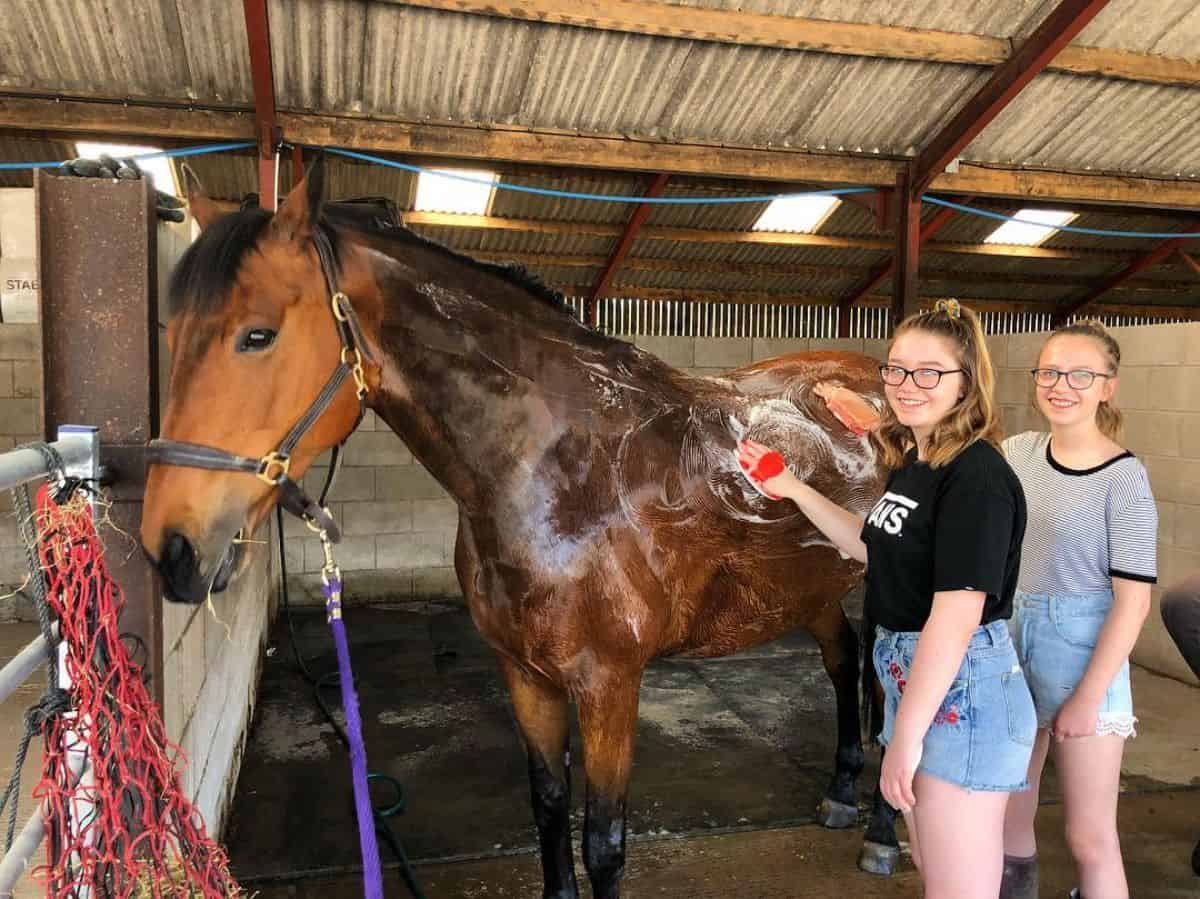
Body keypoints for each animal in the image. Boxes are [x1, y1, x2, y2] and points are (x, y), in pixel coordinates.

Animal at [140, 160, 902, 897]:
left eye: (257, 334)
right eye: (171, 336)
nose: (172, 550)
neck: (570, 472)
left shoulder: (609, 684)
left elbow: (604, 844)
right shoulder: (525, 674)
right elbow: (547, 804)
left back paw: (883, 832)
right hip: (807, 589)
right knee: (845, 661)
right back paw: (841, 791)